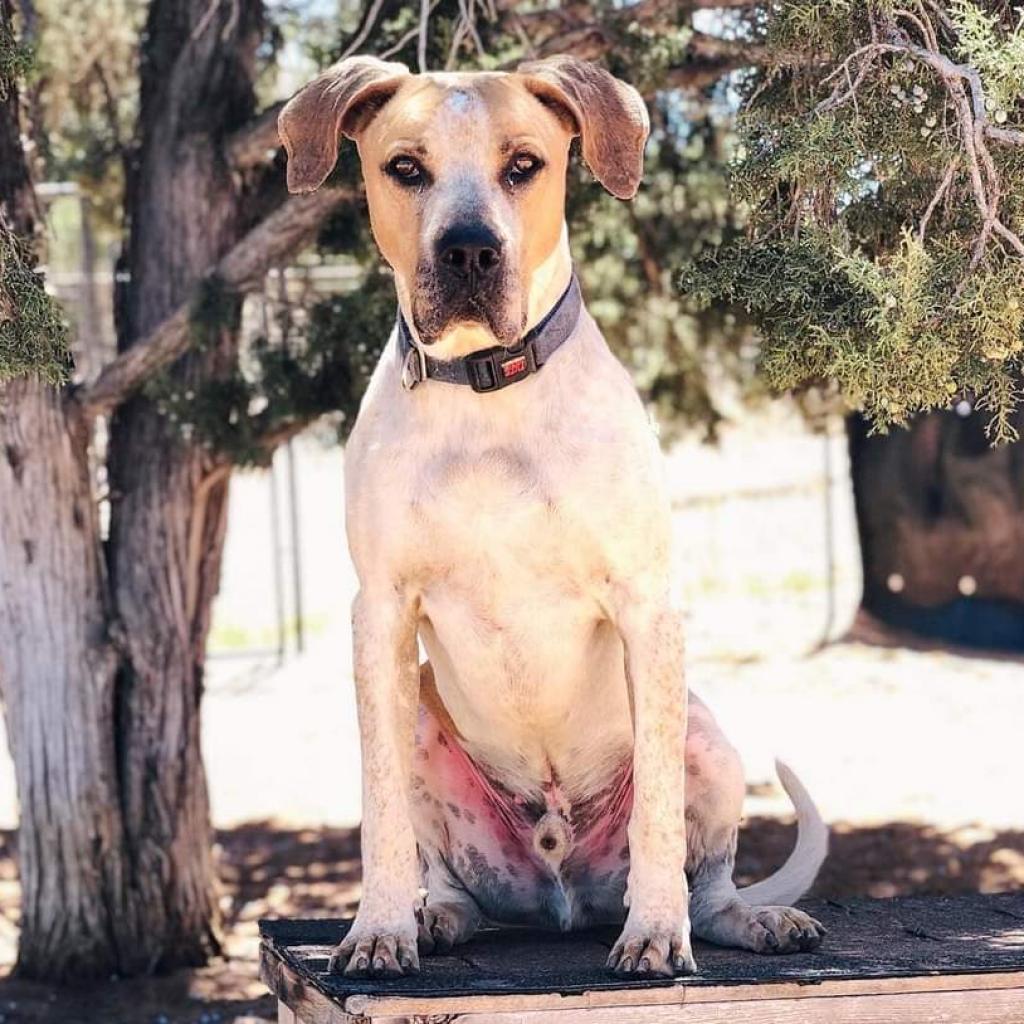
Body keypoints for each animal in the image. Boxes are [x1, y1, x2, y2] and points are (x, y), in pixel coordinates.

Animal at [282, 54, 831, 974]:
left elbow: (657, 819)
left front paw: (656, 933)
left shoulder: (646, 606)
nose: (469, 249)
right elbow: (379, 810)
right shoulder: (382, 614)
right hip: (425, 713)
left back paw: (742, 919)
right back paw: (438, 914)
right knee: (455, 876)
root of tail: (560, 886)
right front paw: (380, 927)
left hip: (706, 737)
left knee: (710, 879)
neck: (486, 389)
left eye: (523, 165)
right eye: (406, 167)